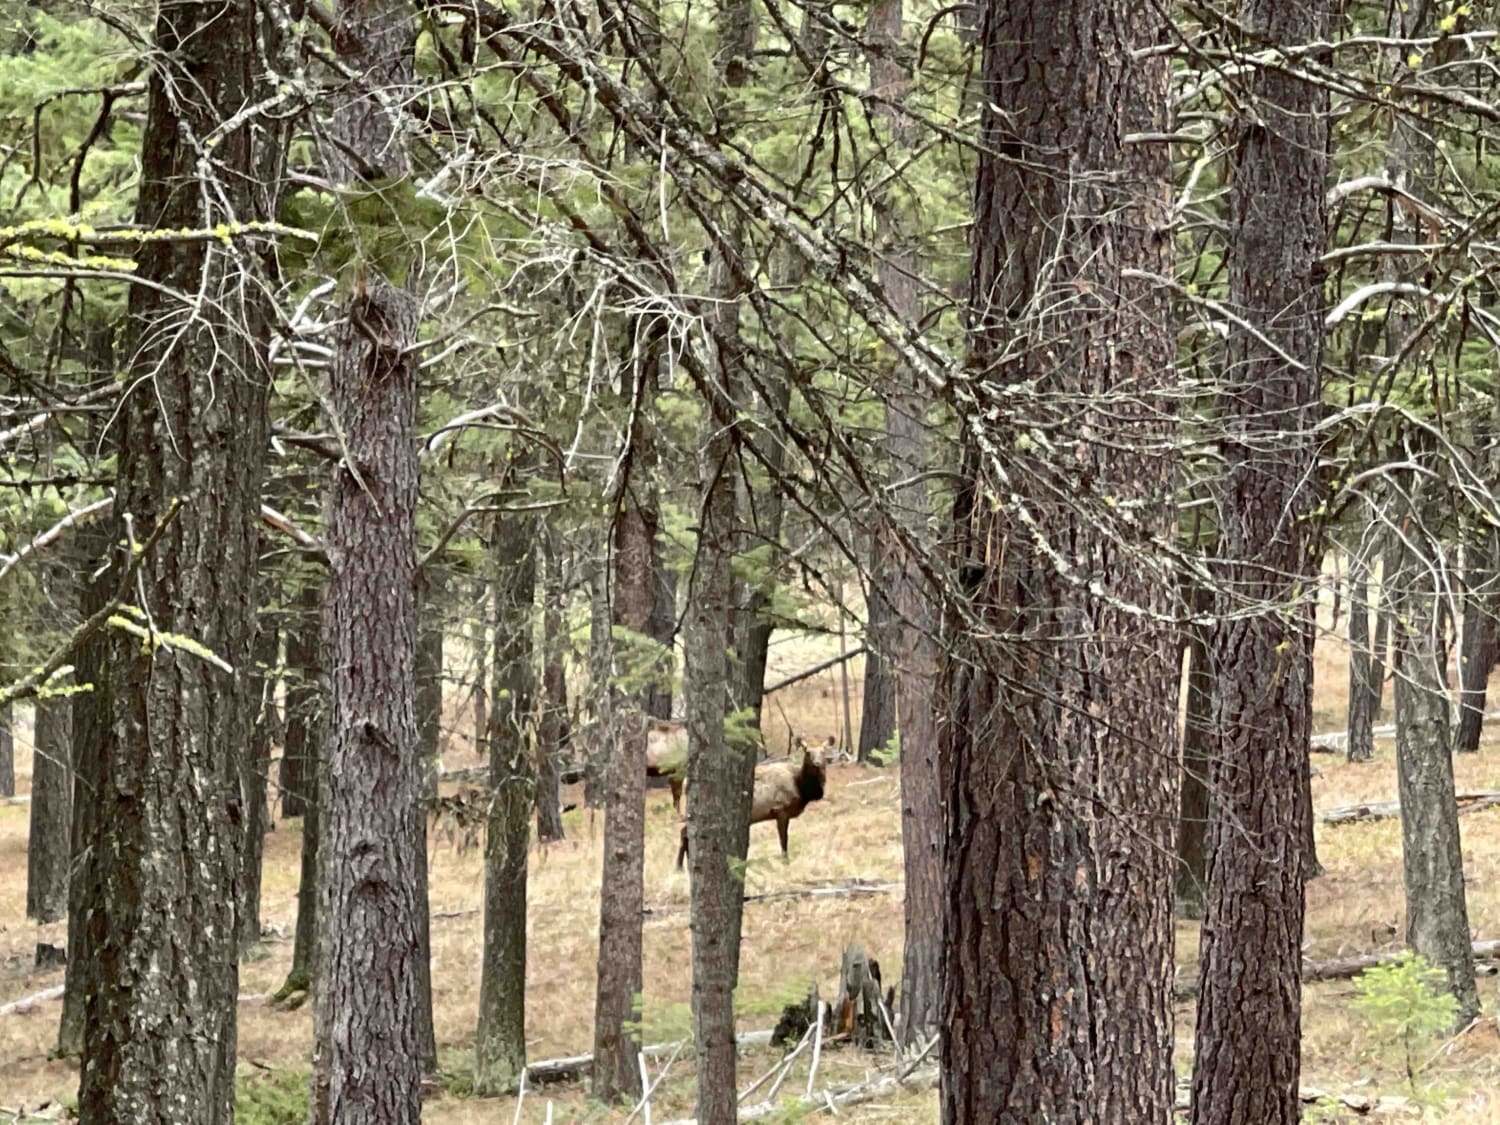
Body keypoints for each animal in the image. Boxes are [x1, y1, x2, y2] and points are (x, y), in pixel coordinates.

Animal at [672, 735, 828, 876]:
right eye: (807, 752)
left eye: (823, 751)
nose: (817, 763)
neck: (801, 787)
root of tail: (684, 783)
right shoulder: (780, 810)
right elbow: (784, 840)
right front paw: (785, 863)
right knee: (684, 833)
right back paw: (679, 867)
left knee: (686, 833)